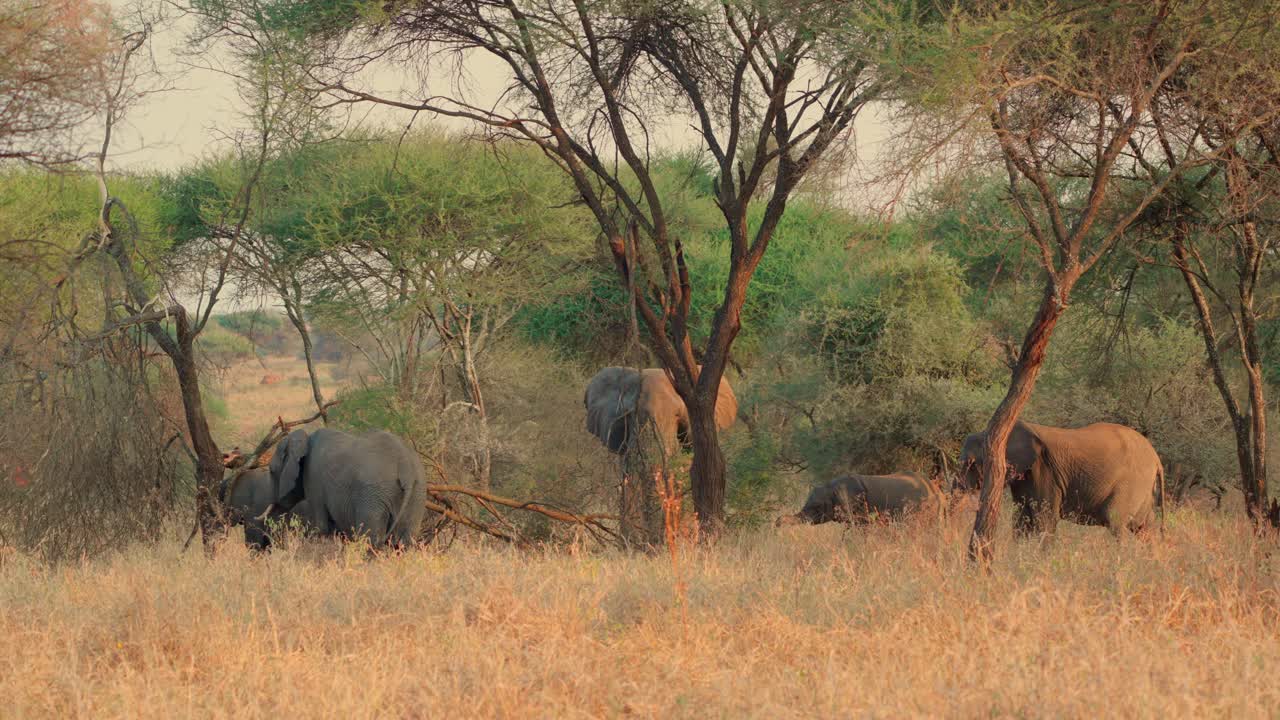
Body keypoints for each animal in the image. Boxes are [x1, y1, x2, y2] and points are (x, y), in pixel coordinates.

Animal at [267, 428, 430, 549]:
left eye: (271, 471)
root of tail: (405, 466)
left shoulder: (313, 480)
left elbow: (321, 526)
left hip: (373, 496)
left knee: (371, 538)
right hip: (418, 493)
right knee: (406, 540)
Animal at [959, 420, 1165, 537]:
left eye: (970, 464)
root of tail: (1156, 458)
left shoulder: (1045, 472)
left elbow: (1045, 519)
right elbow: (1021, 519)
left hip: (1132, 482)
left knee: (1115, 521)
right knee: (1145, 527)